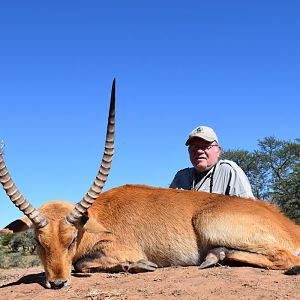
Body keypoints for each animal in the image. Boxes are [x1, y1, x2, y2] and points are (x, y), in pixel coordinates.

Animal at [0, 79, 300, 288]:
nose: (57, 283)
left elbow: (82, 265)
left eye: (72, 238)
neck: (98, 216)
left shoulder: (119, 249)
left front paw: (140, 266)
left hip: (208, 222)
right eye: (38, 241)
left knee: (287, 258)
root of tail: (289, 226)